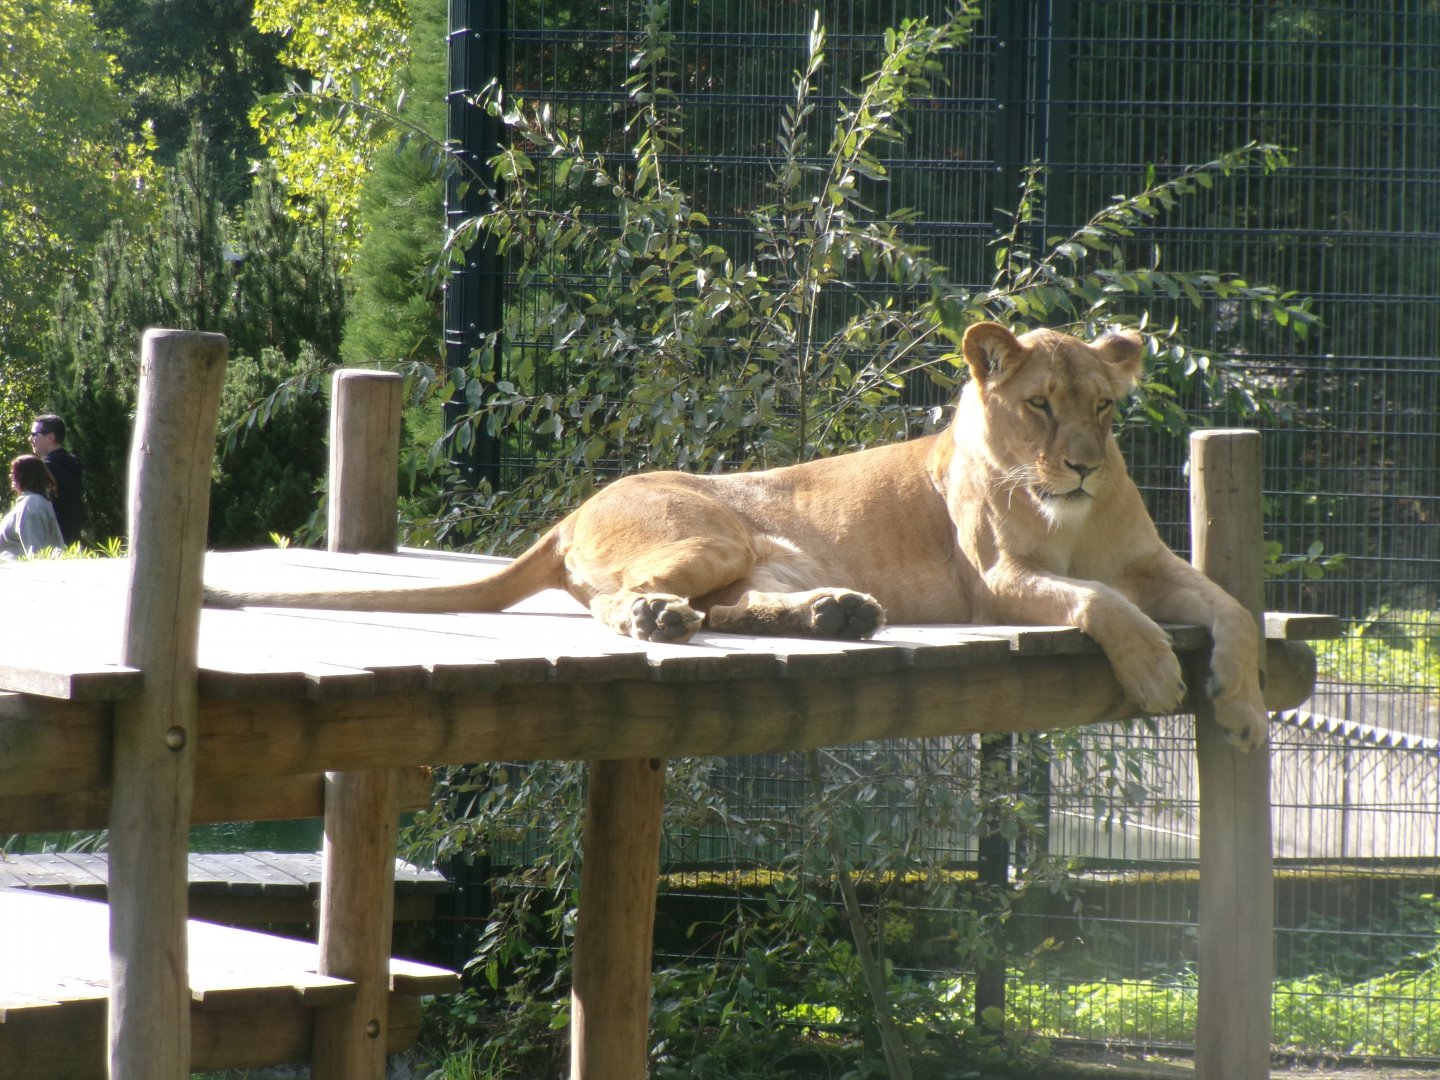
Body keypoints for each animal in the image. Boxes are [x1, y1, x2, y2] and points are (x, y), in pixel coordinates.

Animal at [206, 321, 1267, 749]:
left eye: (1104, 409)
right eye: (1041, 407)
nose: (1082, 465)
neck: (1072, 515)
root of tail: (572, 510)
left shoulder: (1154, 564)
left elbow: (1235, 612)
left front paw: (1245, 706)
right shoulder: (1000, 580)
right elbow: (1099, 605)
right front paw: (1158, 673)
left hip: (761, 557)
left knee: (731, 608)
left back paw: (837, 614)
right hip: (709, 531)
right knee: (624, 606)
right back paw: (664, 624)